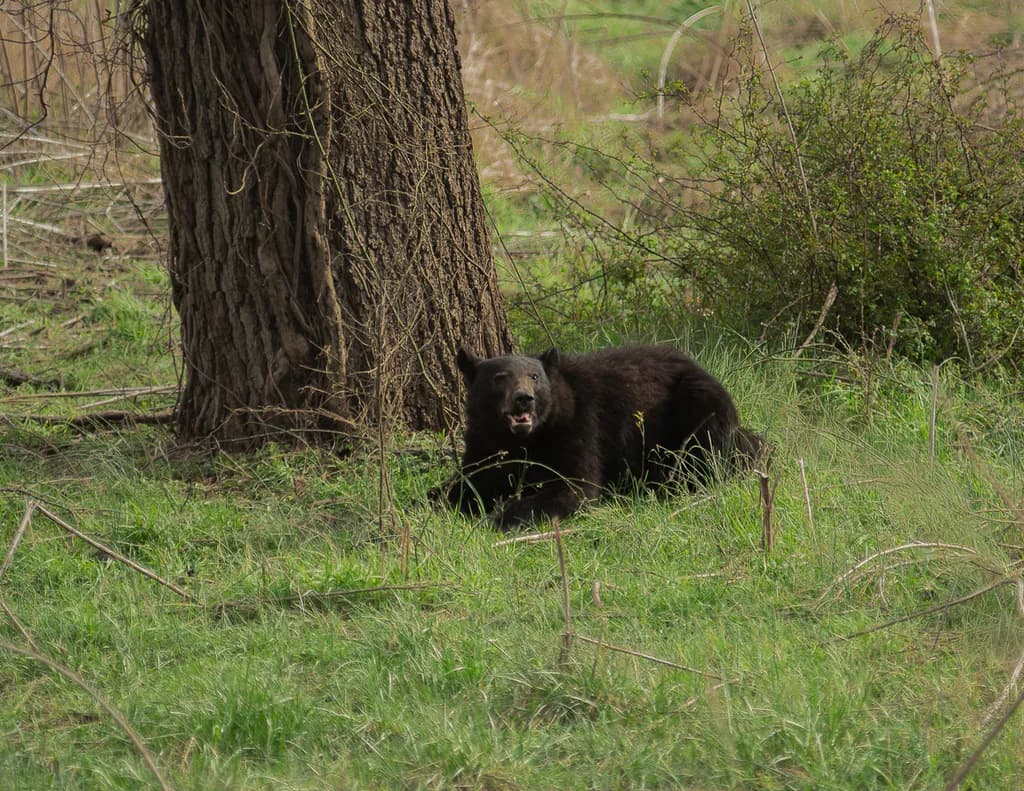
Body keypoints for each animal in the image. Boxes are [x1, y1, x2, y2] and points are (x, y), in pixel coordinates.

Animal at [432, 343, 763, 530]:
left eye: (535, 377)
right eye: (499, 378)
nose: (524, 399)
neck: (524, 438)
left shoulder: (577, 427)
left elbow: (574, 485)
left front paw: (500, 517)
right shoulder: (484, 441)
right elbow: (469, 479)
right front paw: (441, 499)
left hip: (699, 402)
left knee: (710, 450)